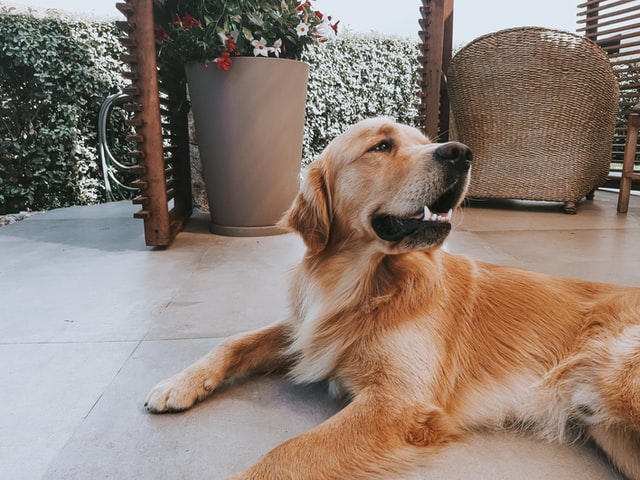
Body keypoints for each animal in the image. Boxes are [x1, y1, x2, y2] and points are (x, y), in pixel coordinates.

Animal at [145, 117, 640, 480]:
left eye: (426, 142)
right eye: (381, 146)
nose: (461, 153)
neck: (368, 286)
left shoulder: (396, 402)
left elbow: (285, 454)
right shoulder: (312, 329)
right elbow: (236, 340)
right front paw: (179, 383)